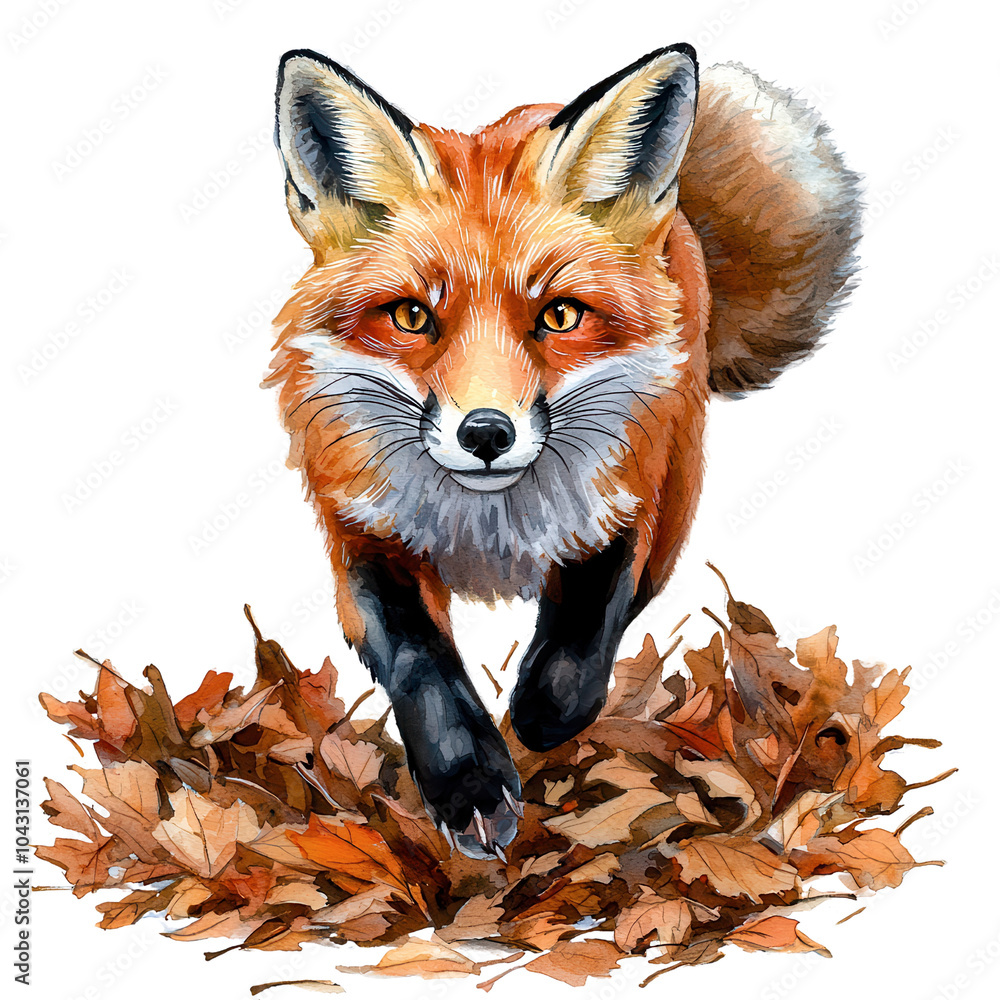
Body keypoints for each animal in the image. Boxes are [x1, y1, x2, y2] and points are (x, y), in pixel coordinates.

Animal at [267, 44, 860, 859]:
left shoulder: (625, 505)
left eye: (560, 316)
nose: (486, 434)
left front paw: (537, 722)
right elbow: (421, 667)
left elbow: (579, 645)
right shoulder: (362, 537)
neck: (487, 526)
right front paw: (471, 784)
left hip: (678, 486)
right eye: (412, 316)